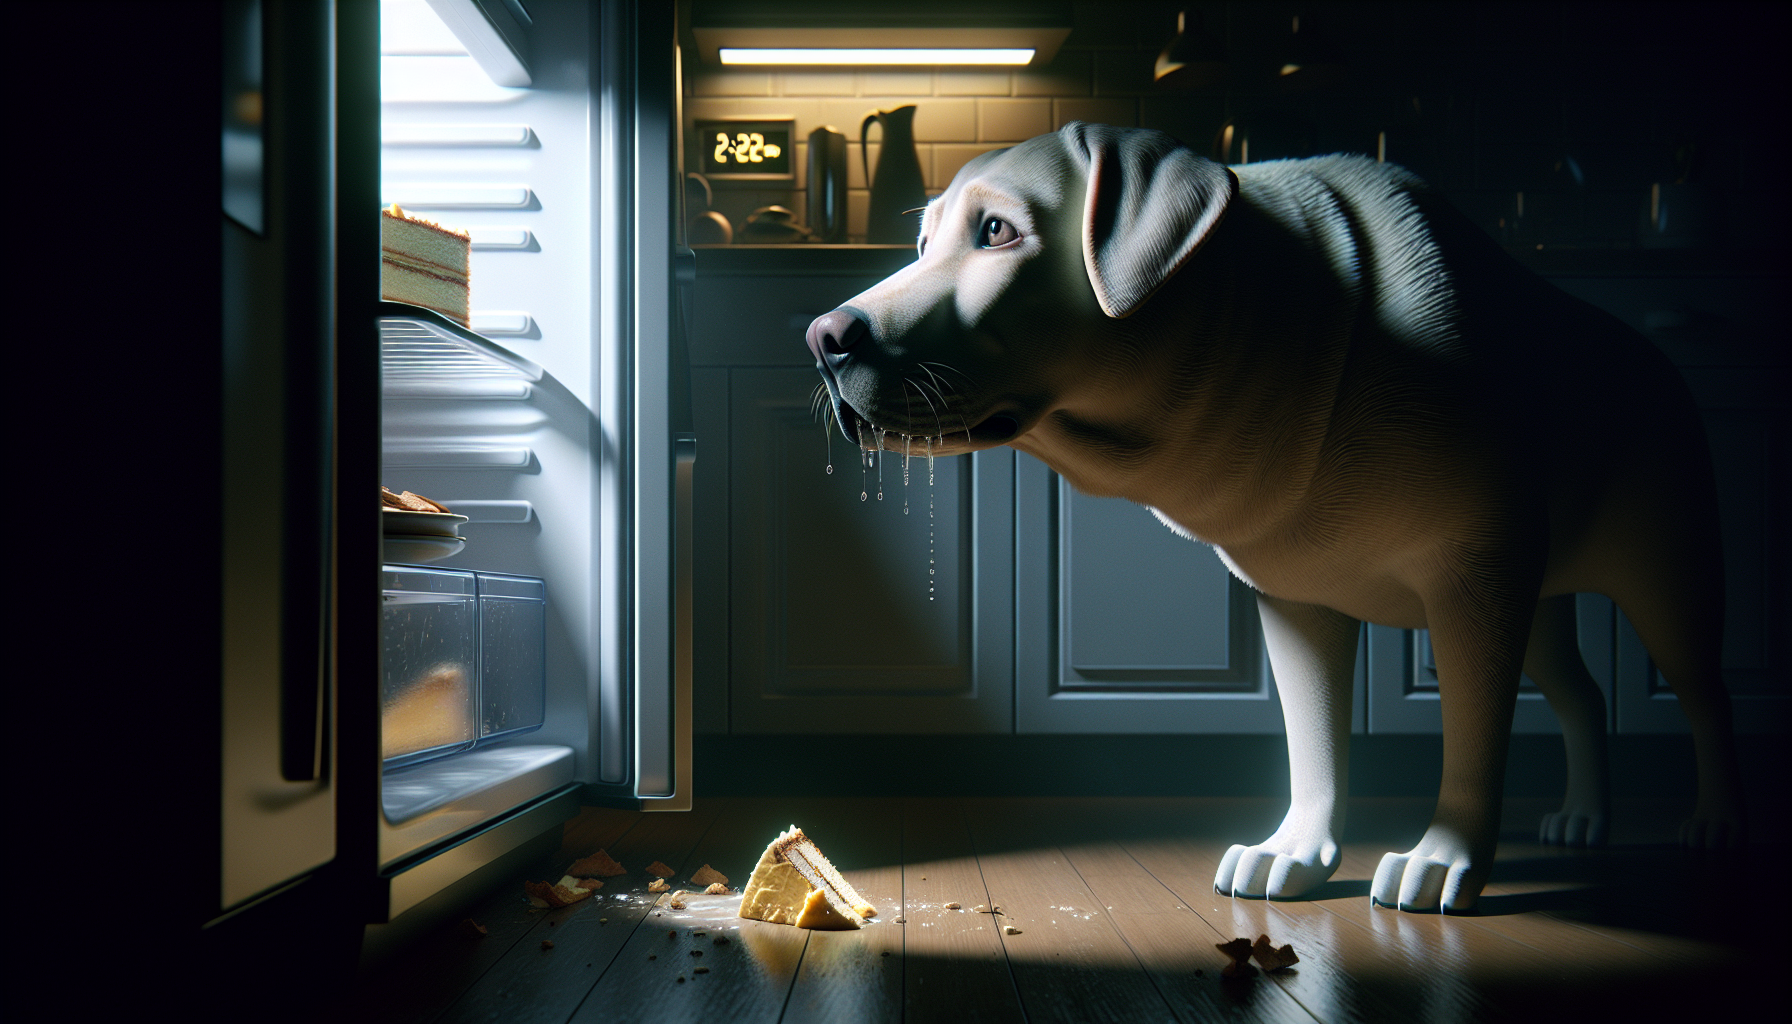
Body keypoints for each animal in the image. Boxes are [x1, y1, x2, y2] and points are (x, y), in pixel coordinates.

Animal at [806, 121, 1741, 914]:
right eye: (922, 245)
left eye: (997, 232)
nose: (822, 337)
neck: (1286, 334)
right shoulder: (1298, 598)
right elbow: (1313, 738)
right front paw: (1296, 852)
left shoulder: (1475, 584)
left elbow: (1474, 737)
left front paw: (1444, 858)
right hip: (1543, 599)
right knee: (1582, 691)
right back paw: (1584, 817)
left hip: (1662, 578)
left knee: (1703, 693)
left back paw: (1712, 821)